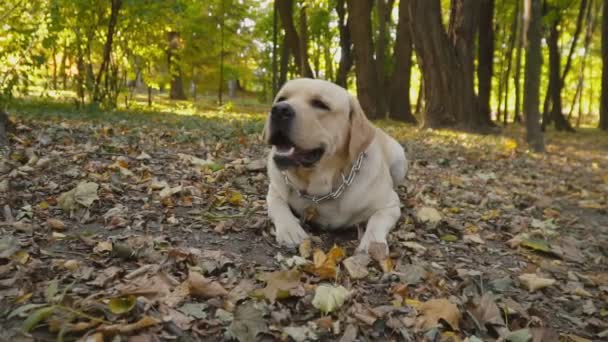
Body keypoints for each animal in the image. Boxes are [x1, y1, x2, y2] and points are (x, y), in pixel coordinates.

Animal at [266, 79, 408, 252]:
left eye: (320, 104)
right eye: (281, 98)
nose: (279, 110)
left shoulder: (390, 204)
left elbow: (378, 218)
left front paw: (373, 244)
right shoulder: (274, 191)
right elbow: (278, 206)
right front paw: (290, 230)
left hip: (399, 160)